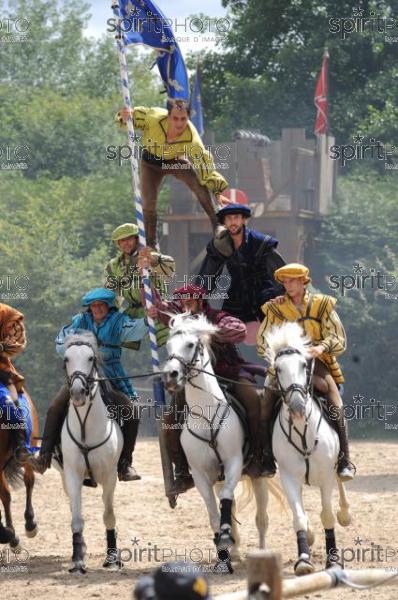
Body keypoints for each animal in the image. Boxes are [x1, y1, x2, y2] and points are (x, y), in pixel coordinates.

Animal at [59, 332, 123, 572]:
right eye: (66, 359)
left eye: (90, 358)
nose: (78, 392)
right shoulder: (72, 475)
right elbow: (76, 518)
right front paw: (78, 559)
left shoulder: (110, 476)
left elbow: (109, 515)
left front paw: (112, 559)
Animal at [162, 312, 280, 568]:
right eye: (168, 345)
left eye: (190, 344)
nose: (171, 376)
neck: (207, 414)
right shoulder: (201, 474)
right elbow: (213, 511)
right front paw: (223, 548)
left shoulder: (234, 463)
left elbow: (226, 500)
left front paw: (225, 539)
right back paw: (233, 551)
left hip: (257, 476)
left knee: (261, 518)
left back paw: (261, 551)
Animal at [264, 324, 352, 576]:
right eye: (278, 368)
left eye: (304, 365)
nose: (297, 407)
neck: (303, 431)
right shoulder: (289, 477)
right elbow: (299, 517)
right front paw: (303, 559)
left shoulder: (326, 477)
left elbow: (327, 514)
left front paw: (333, 560)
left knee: (341, 481)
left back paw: (345, 513)